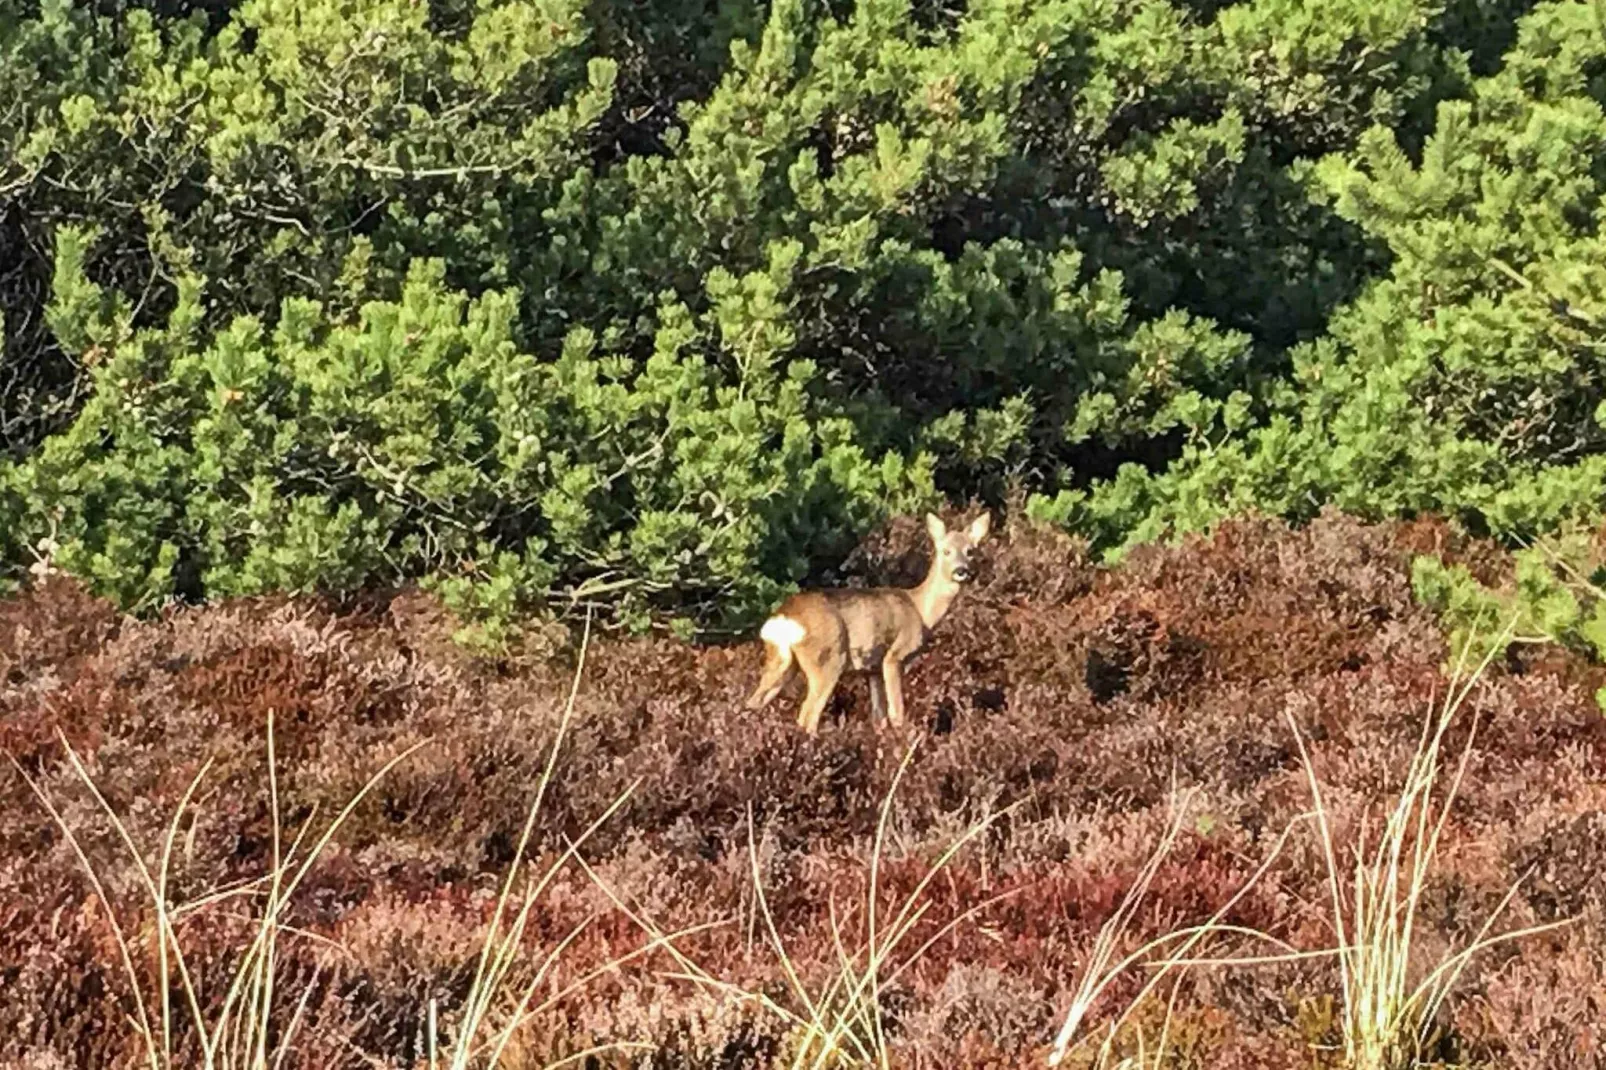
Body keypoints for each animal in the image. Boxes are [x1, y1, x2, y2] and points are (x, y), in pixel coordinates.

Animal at [741, 510, 989, 732]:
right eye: (945, 551)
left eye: (970, 551)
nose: (961, 570)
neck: (921, 610)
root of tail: (783, 618)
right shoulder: (894, 656)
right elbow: (896, 713)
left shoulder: (872, 669)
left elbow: (879, 717)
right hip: (828, 659)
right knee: (807, 716)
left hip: (781, 660)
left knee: (752, 703)